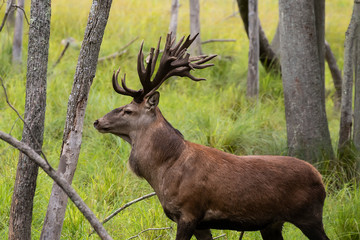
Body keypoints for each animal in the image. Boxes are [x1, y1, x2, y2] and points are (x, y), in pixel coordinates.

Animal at [94, 33, 330, 240]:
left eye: (127, 110)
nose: (97, 121)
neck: (163, 170)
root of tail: (321, 180)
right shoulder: (200, 223)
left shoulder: (189, 211)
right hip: (272, 224)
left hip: (308, 215)